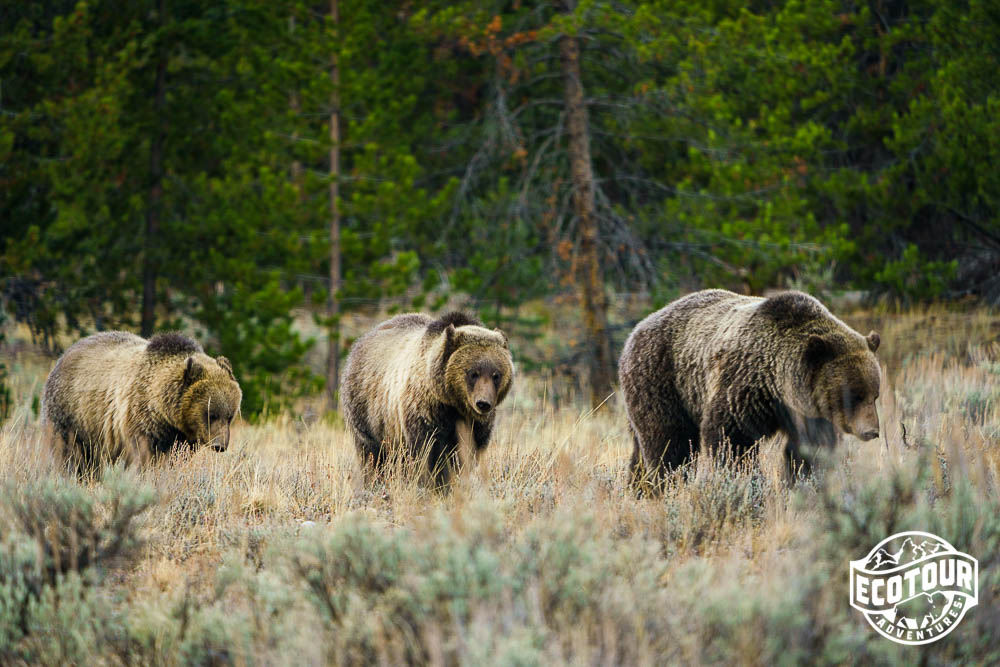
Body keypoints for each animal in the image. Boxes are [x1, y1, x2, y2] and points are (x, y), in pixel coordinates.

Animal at [45, 332, 244, 472]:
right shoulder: (140, 419)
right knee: (69, 453)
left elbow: (177, 457)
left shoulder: (182, 436)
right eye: (211, 414)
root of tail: (64, 354)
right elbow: (143, 454)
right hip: (72, 415)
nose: (220, 445)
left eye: (230, 416)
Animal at [344, 314, 516, 486]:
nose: (483, 403)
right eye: (473, 373)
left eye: (496, 375)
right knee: (371, 454)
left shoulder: (475, 425)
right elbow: (428, 452)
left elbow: (466, 454)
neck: (453, 402)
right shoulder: (426, 413)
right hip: (367, 413)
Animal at [616, 290, 884, 488]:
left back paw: (638, 489)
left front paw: (802, 481)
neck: (779, 383)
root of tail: (634, 331)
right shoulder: (745, 387)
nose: (872, 431)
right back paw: (667, 485)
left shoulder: (806, 411)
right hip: (664, 381)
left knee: (640, 450)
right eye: (853, 396)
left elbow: (811, 448)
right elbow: (732, 440)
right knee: (669, 443)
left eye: (875, 395)